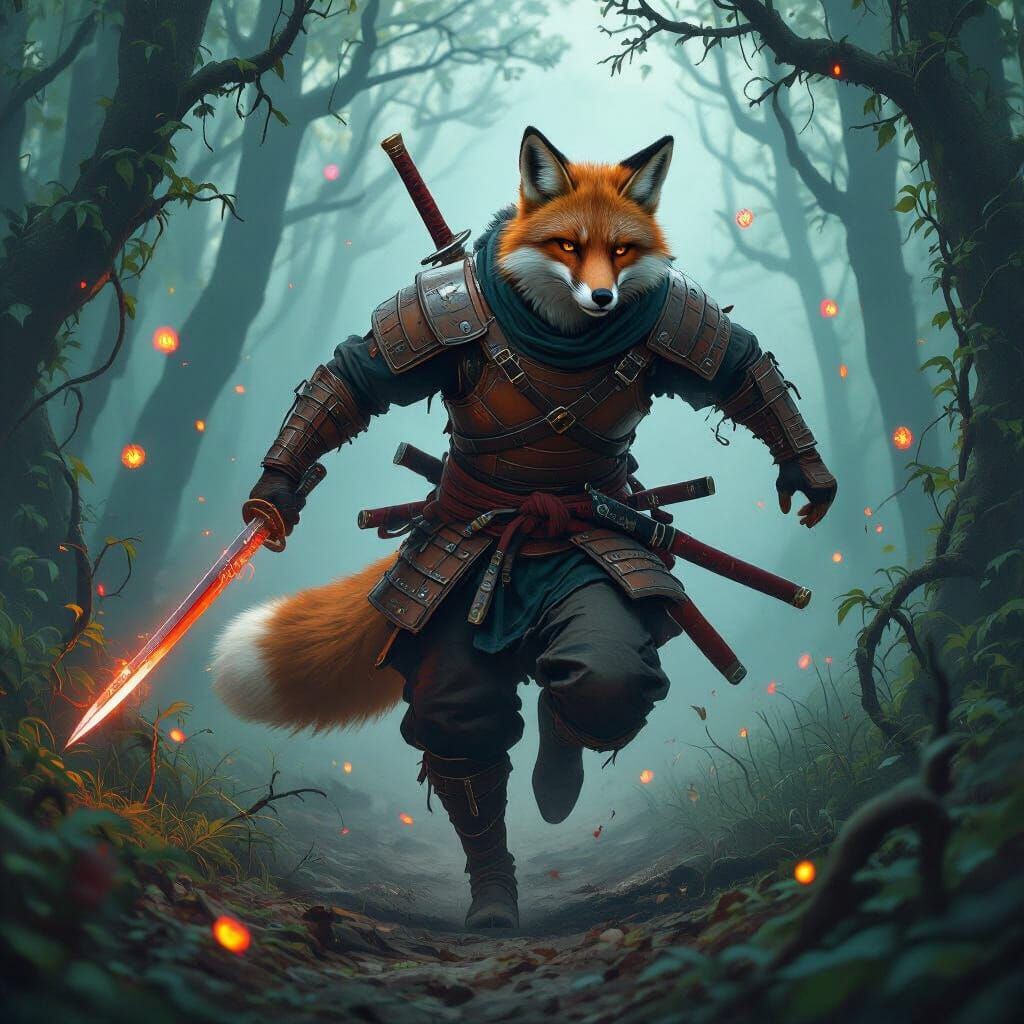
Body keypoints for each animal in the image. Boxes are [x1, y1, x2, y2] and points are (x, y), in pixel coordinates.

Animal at [212, 131, 680, 734]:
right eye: (567, 246)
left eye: (622, 250)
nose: (603, 298)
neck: (562, 329)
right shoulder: (427, 319)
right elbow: (352, 382)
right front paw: (275, 496)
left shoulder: (677, 315)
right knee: (456, 706)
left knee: (601, 676)